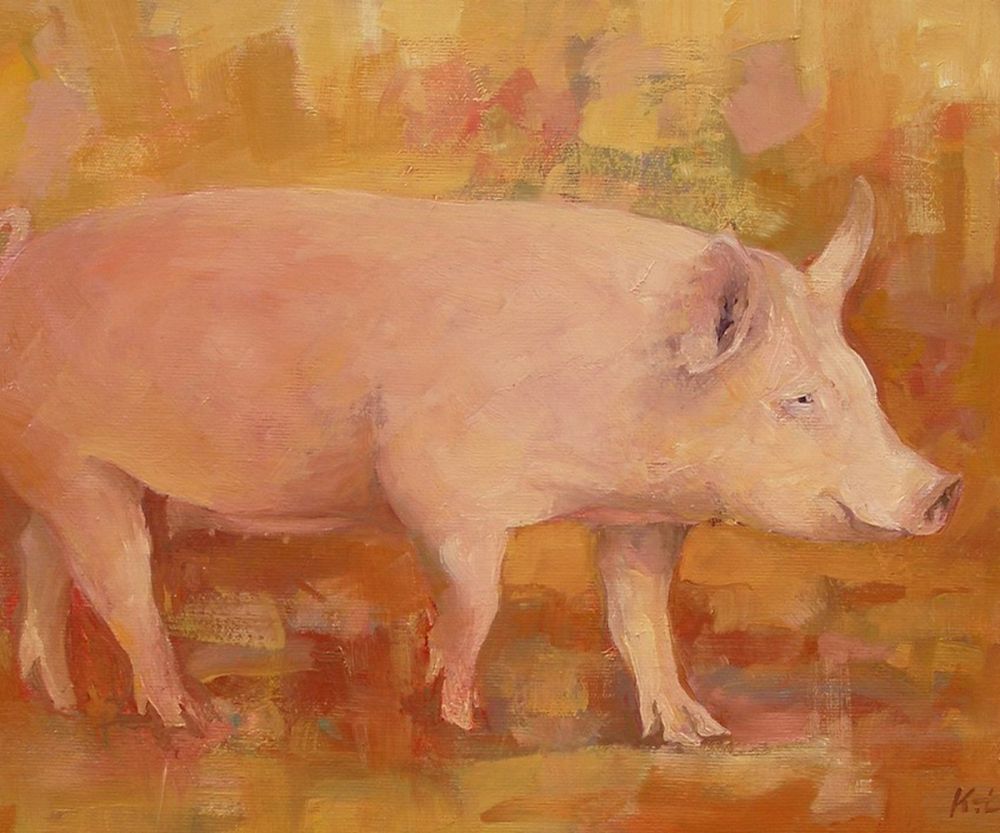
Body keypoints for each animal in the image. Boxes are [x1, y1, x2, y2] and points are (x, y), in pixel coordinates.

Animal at [0, 179, 961, 744]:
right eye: (799, 399)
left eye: (862, 380)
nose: (944, 489)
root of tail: (18, 262)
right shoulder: (442, 492)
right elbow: (474, 604)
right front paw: (463, 719)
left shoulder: (643, 517)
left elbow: (640, 616)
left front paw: (697, 734)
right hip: (79, 462)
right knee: (121, 588)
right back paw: (199, 720)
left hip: (72, 475)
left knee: (44, 561)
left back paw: (55, 699)